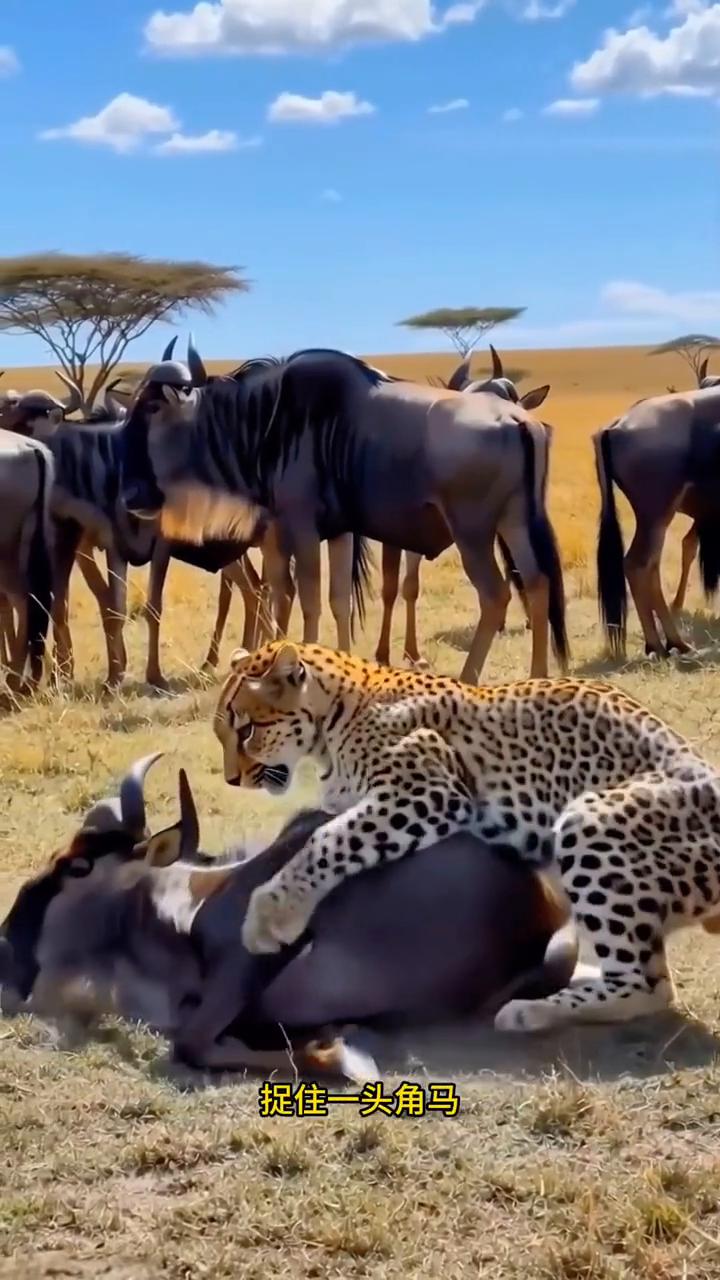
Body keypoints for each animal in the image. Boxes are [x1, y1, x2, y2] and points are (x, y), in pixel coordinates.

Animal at [212, 640, 720, 1029]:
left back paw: (528, 1011)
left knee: (647, 986)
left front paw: (270, 916)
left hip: (587, 820)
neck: (333, 717)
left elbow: (331, 840)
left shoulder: (428, 790)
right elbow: (329, 827)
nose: (232, 779)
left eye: (247, 729)